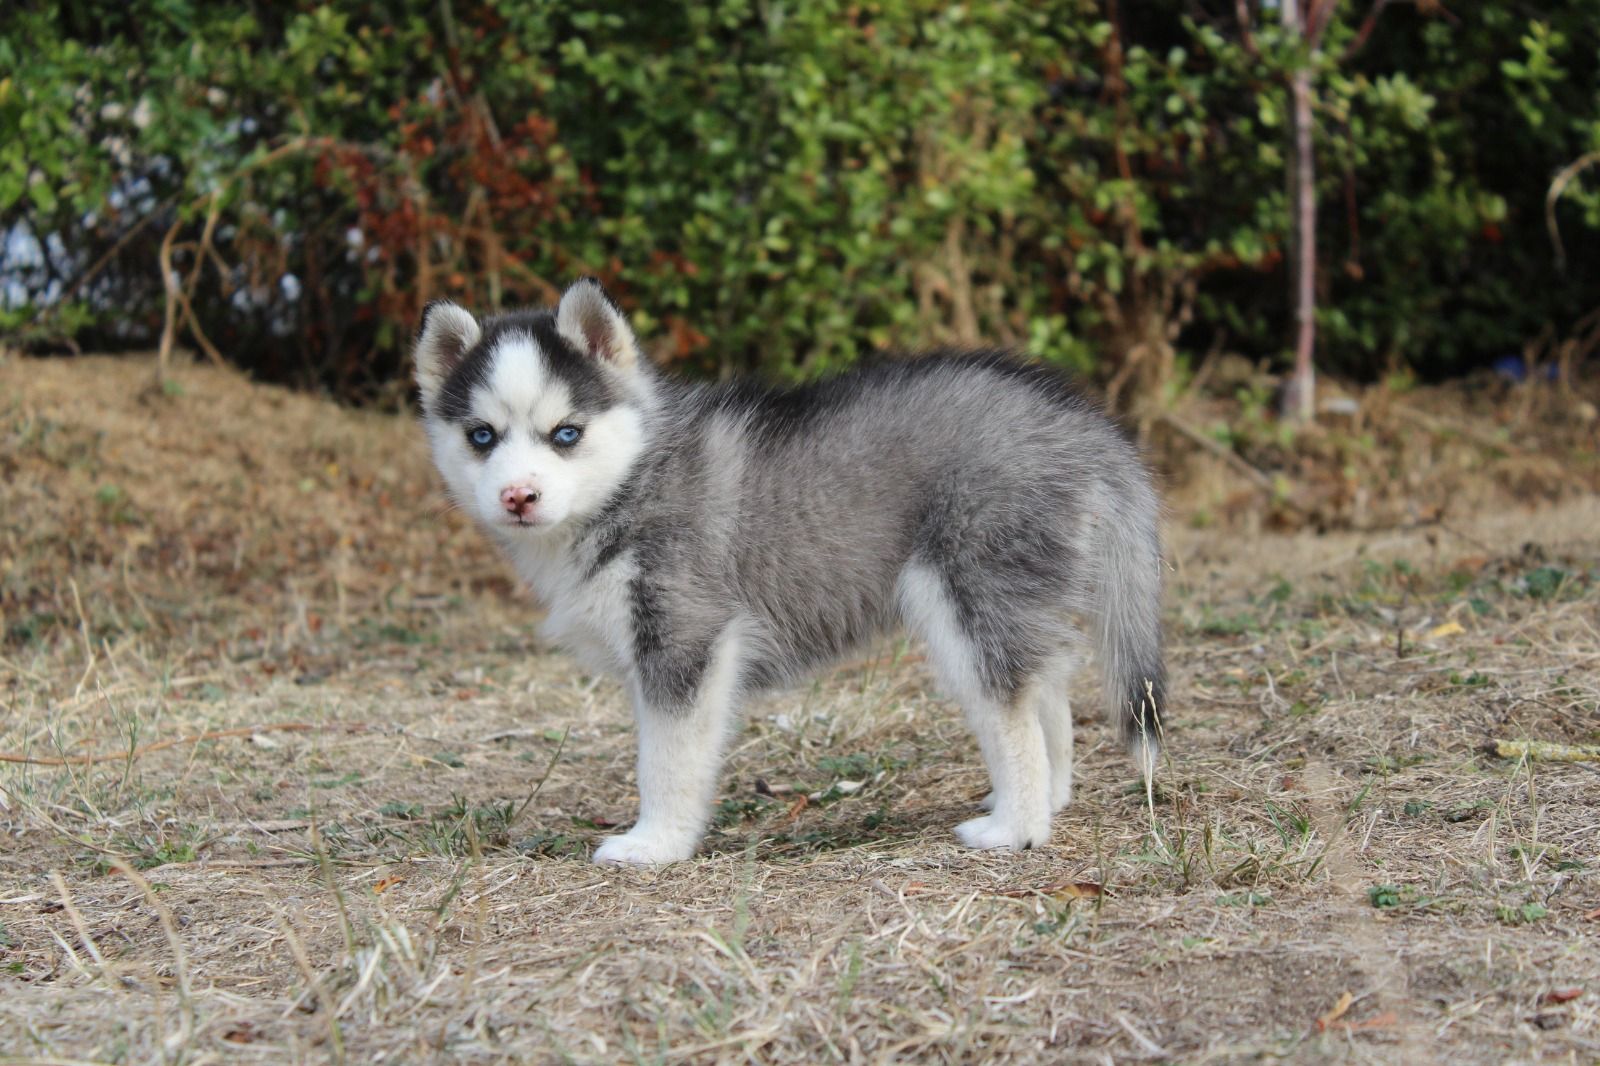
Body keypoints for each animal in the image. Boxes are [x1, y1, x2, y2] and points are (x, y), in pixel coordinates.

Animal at [414, 279, 1165, 865]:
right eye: (481, 436)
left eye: (566, 433)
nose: (518, 497)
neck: (631, 478)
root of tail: (1077, 418)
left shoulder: (686, 640)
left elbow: (666, 758)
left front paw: (656, 843)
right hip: (1012, 597)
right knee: (1045, 687)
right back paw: (1049, 799)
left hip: (964, 596)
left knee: (1010, 708)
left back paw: (1018, 828)